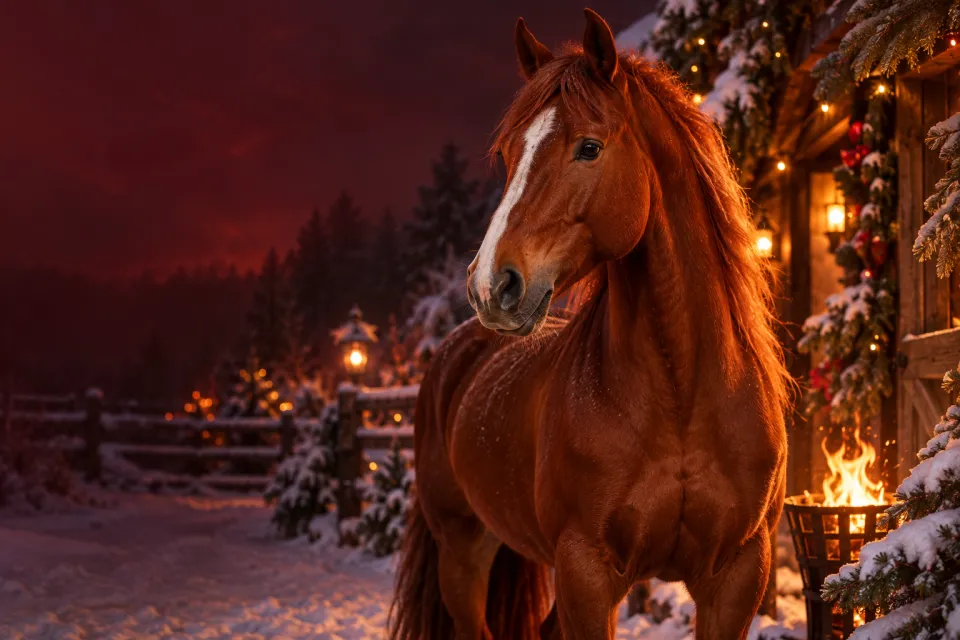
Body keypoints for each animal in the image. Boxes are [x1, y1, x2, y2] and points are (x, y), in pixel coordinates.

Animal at [390, 10, 790, 640]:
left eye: (589, 147)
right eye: (508, 154)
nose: (491, 287)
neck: (682, 398)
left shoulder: (737, 576)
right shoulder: (586, 572)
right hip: (462, 550)